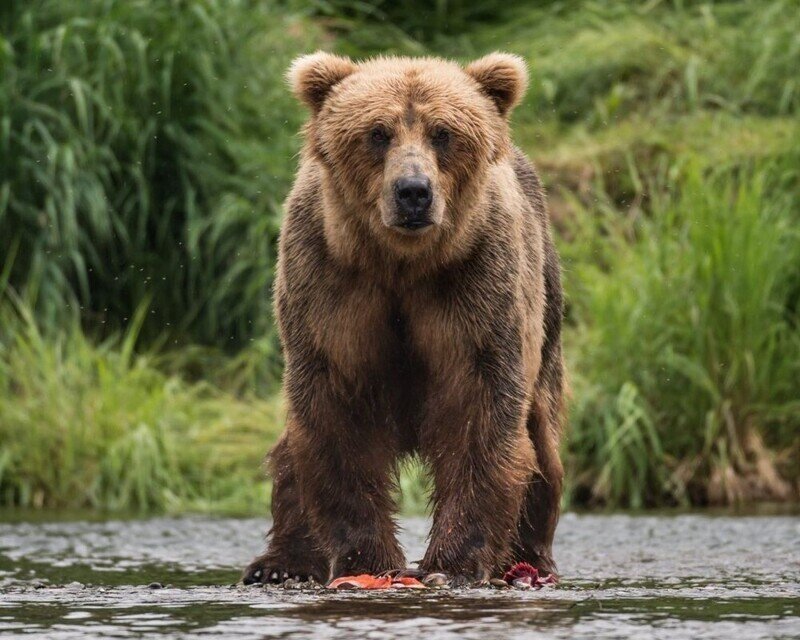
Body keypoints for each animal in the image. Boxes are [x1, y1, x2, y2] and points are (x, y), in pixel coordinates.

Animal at [241, 52, 564, 588]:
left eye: (443, 132)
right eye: (377, 132)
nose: (414, 191)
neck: (401, 264)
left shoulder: (475, 288)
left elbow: (482, 415)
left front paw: (453, 563)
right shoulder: (331, 286)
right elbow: (335, 421)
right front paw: (367, 559)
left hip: (546, 303)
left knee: (540, 440)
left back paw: (529, 558)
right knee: (292, 453)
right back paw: (280, 564)